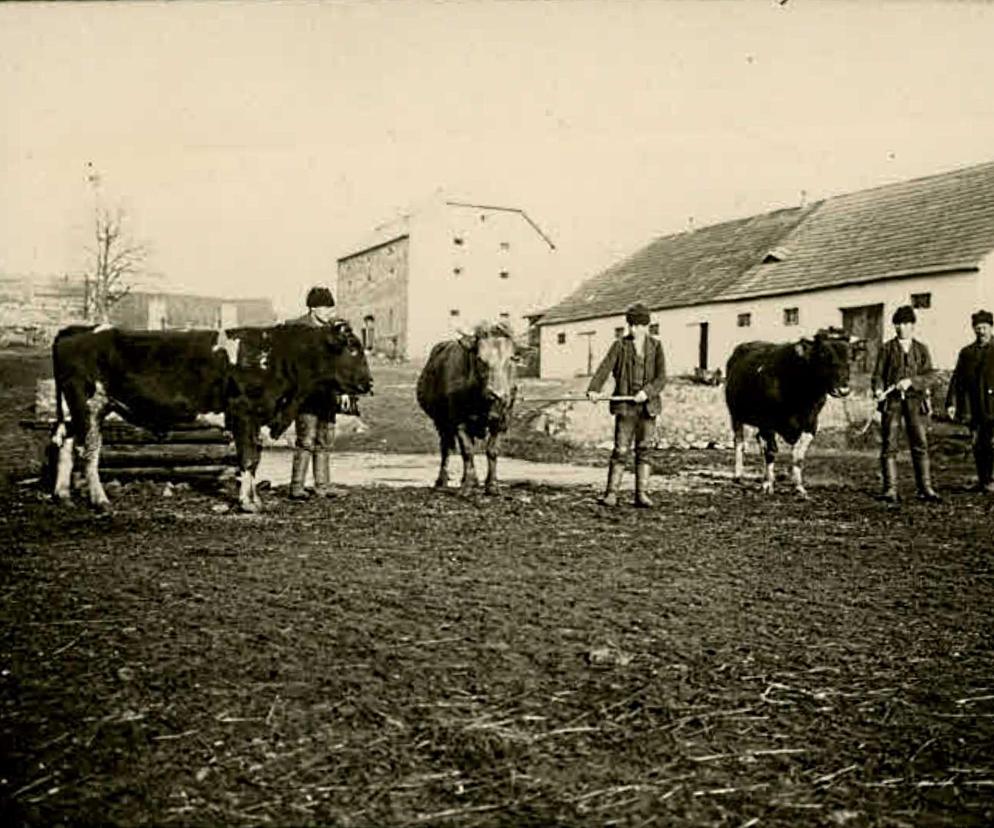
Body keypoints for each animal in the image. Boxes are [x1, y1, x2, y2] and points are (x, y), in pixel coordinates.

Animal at [49, 322, 372, 512]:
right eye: (353, 348)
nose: (369, 382)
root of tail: (78, 329)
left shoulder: (258, 418)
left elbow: (255, 459)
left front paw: (255, 499)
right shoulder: (243, 412)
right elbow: (247, 459)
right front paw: (247, 503)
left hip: (73, 410)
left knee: (65, 444)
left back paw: (63, 494)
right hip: (90, 404)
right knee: (89, 450)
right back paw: (100, 500)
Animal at [412, 320, 516, 494]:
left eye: (511, 359)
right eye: (480, 359)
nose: (498, 394)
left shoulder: (501, 421)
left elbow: (492, 451)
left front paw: (492, 485)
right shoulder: (459, 421)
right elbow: (467, 451)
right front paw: (467, 486)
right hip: (441, 422)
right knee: (446, 448)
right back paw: (443, 480)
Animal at [720, 328, 852, 498]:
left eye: (850, 357)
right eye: (823, 354)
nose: (843, 389)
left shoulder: (811, 424)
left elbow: (798, 456)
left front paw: (799, 487)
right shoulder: (767, 422)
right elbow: (771, 451)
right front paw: (768, 485)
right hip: (736, 414)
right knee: (739, 442)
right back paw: (738, 475)